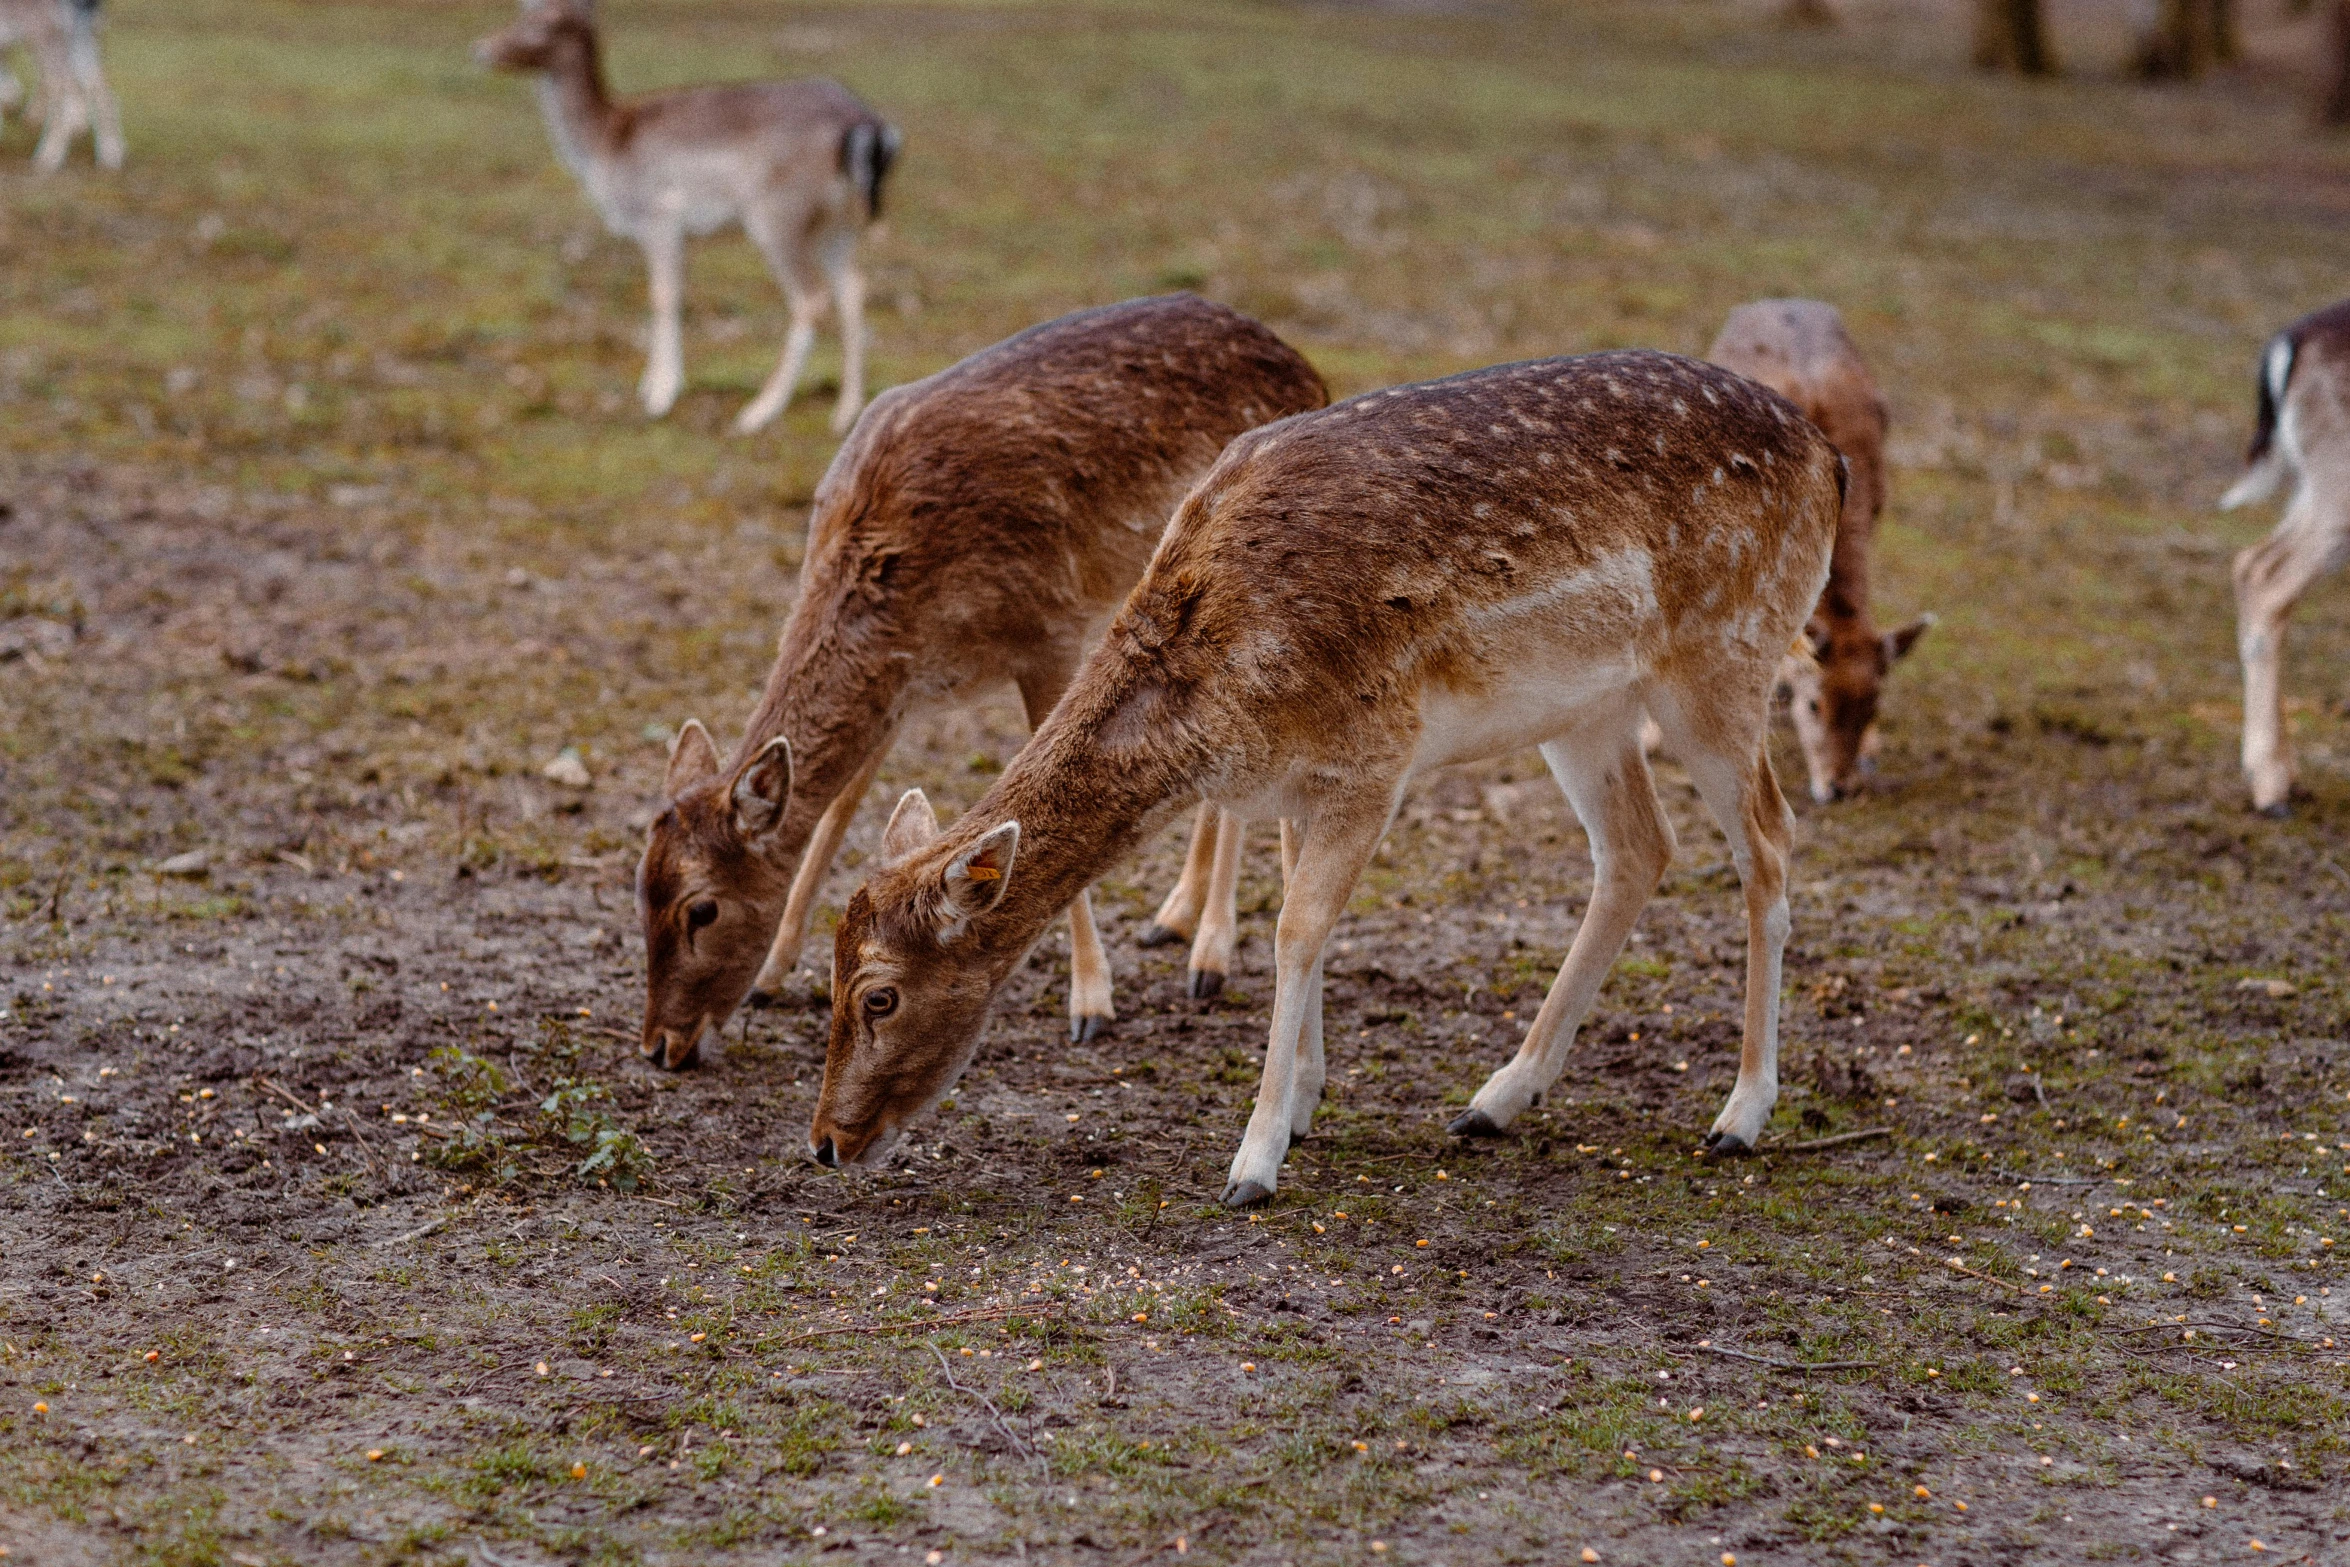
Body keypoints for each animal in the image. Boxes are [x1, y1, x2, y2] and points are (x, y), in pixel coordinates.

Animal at [0, 0, 123, 172]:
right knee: (99, 89)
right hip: (78, 33)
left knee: (65, 89)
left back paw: (48, 158)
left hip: (46, 33)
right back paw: (110, 157)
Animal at [477, 0, 897, 434]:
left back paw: (760, 411)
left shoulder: (659, 217)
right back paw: (846, 411)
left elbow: (663, 295)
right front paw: (649, 384)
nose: (484, 48)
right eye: (523, 12)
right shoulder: (678, 235)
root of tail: (866, 124)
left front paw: (660, 395)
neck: (605, 147)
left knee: (811, 298)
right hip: (839, 223)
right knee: (853, 287)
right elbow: (672, 291)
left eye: (543, 21)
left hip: (777, 215)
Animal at [817, 350, 1842, 1202]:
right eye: (827, 973)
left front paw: (1254, 1160)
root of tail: (1828, 457)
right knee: (1638, 846)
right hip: (1588, 709)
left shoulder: (1373, 758)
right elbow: (1297, 916)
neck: (1221, 708)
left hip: (1724, 659)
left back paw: (1741, 1114)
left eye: (879, 994)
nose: (825, 1141)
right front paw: (1307, 1102)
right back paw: (1496, 1098)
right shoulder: (1297, 784)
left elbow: (1297, 929)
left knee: (1770, 838)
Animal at [2218, 297, 2350, 822]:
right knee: (2270, 581)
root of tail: (2289, 343)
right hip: (2339, 486)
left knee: (2254, 562)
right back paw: (2270, 789)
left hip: (2315, 486)